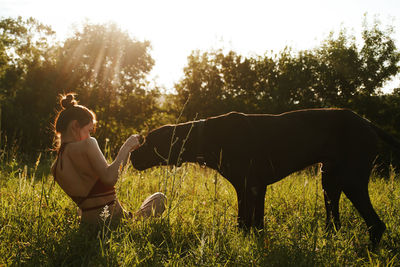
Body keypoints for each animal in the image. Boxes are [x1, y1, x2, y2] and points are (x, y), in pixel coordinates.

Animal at [131, 109, 400, 247]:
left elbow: (250, 223)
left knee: (376, 224)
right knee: (335, 222)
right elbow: (249, 223)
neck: (206, 135)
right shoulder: (249, 188)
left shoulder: (252, 186)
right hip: (330, 181)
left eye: (148, 141)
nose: (132, 155)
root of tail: (368, 123)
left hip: (351, 180)